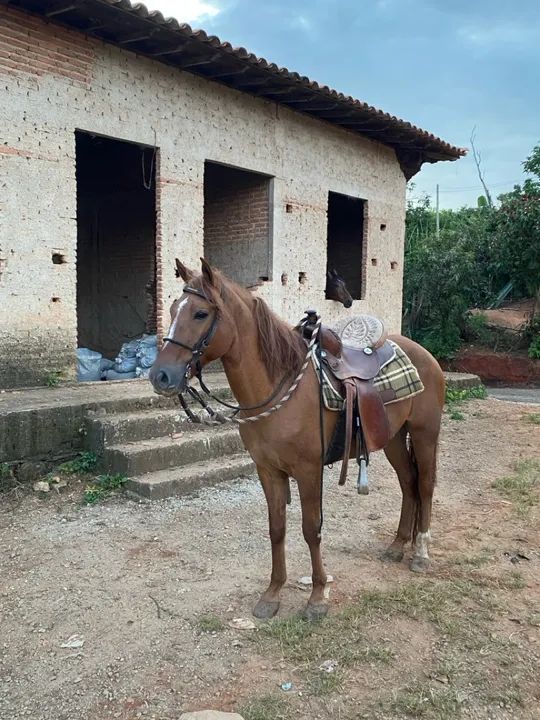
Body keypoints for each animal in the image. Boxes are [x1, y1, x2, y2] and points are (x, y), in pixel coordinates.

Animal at [149, 258, 445, 621]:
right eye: (173, 308)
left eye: (200, 314)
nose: (160, 376)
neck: (280, 386)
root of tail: (424, 355)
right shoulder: (267, 470)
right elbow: (277, 529)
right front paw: (272, 594)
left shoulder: (308, 471)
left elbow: (310, 529)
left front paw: (317, 597)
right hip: (392, 437)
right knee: (408, 483)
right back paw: (398, 545)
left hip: (425, 432)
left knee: (425, 485)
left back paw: (420, 553)